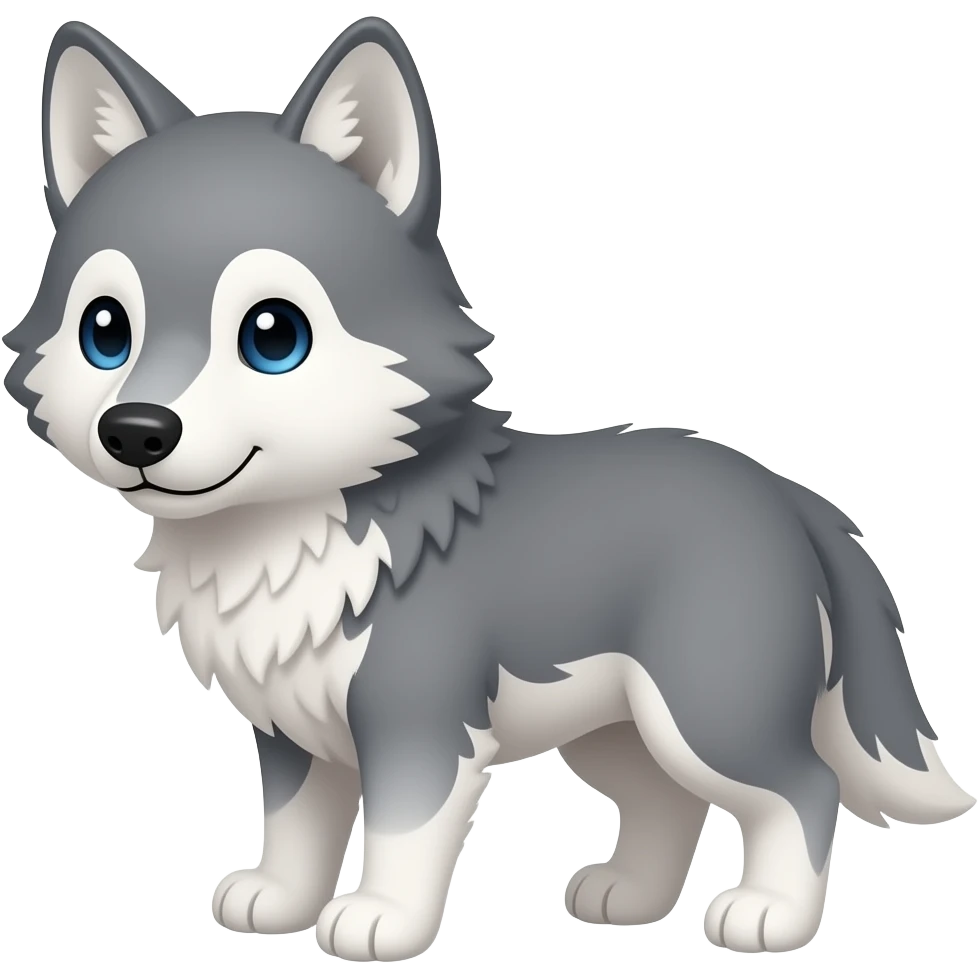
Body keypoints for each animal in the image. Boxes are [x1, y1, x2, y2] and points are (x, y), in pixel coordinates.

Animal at [3, 14, 972, 962]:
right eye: (104, 331)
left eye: (272, 335)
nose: (136, 430)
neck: (284, 535)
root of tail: (786, 493)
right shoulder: (290, 731)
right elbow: (295, 826)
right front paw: (277, 900)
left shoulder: (420, 719)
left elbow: (401, 831)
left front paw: (379, 920)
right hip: (614, 729)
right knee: (668, 800)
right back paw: (630, 897)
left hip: (705, 705)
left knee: (802, 787)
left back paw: (771, 916)